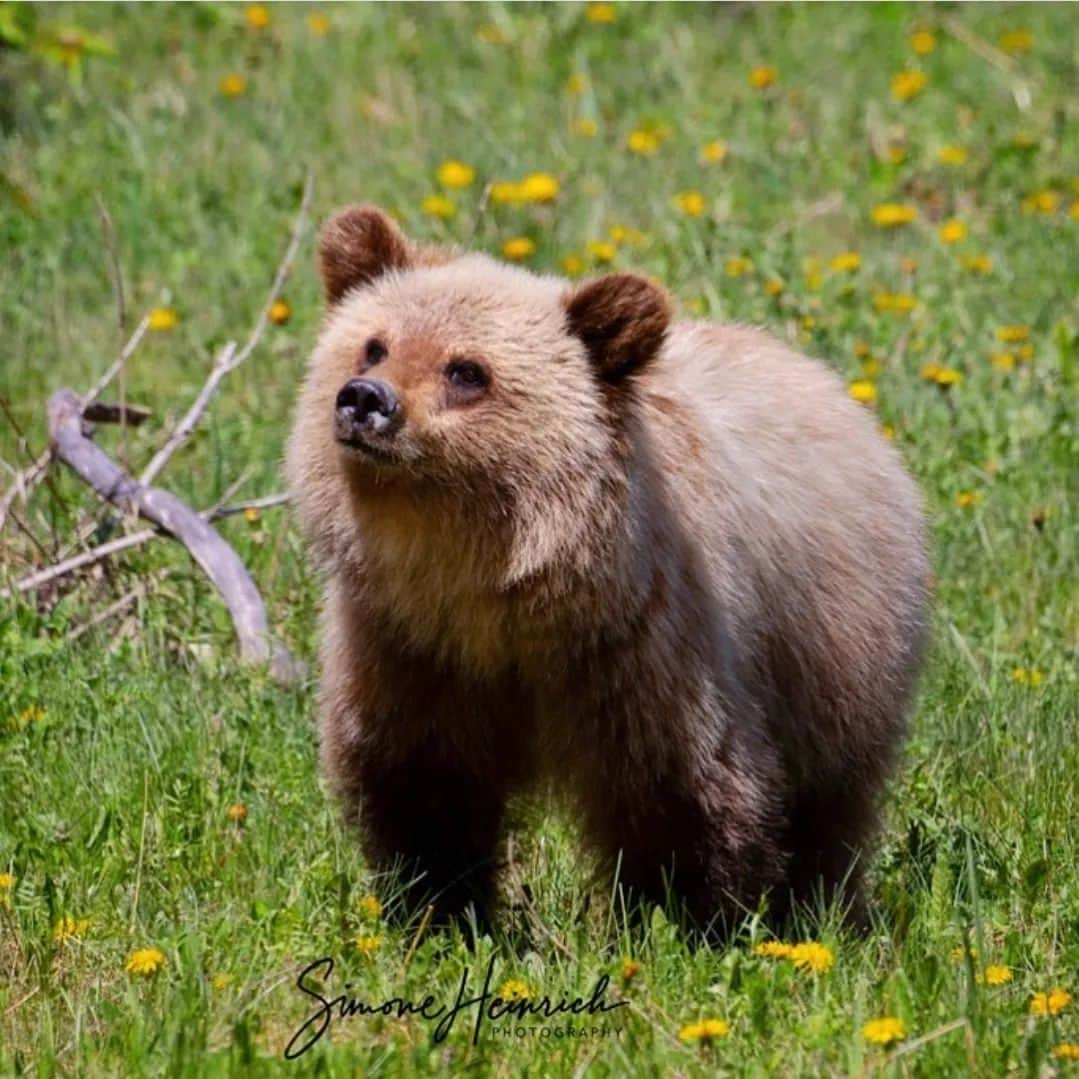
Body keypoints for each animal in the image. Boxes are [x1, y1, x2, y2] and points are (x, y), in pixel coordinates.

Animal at [284, 202, 927, 936]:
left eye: (467, 370)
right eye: (374, 344)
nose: (365, 399)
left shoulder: (643, 645)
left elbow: (678, 788)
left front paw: (679, 917)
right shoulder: (409, 647)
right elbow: (422, 782)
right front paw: (439, 909)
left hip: (835, 650)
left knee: (829, 798)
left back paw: (817, 908)